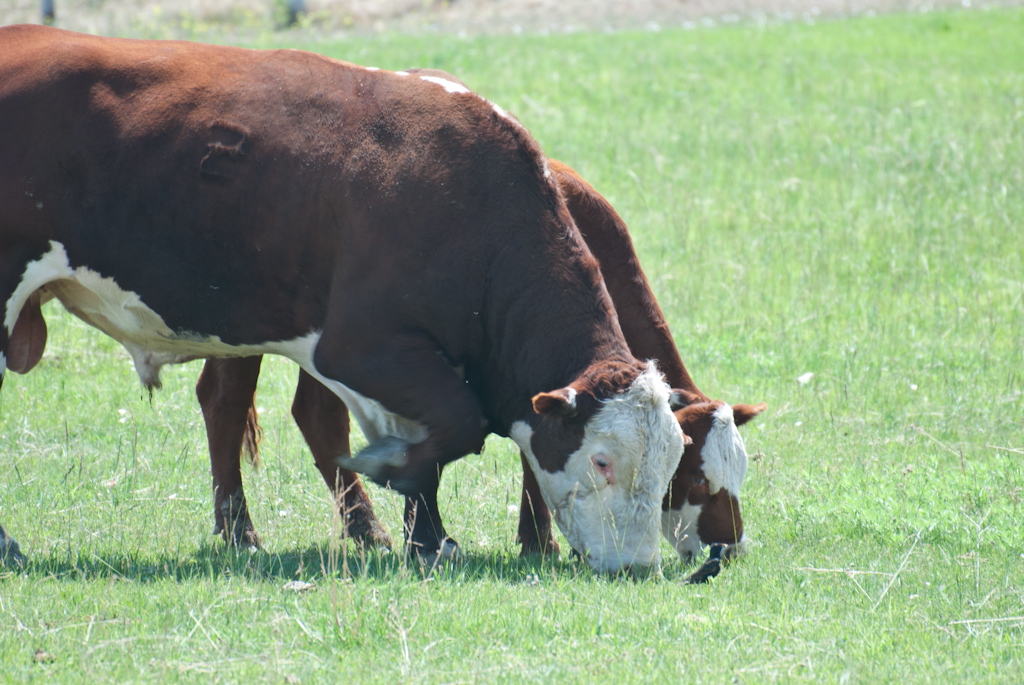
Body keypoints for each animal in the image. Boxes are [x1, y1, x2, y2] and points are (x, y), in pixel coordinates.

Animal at [4, 25, 688, 573]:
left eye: (672, 465)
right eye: (602, 461)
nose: (638, 566)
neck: (469, 202)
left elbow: (437, 434)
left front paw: (426, 536)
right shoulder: (359, 348)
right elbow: (456, 422)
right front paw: (402, 491)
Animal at [195, 154, 765, 565]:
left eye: (739, 471)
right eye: (697, 478)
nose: (731, 548)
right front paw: (532, 542)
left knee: (314, 415)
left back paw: (364, 530)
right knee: (225, 399)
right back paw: (242, 531)